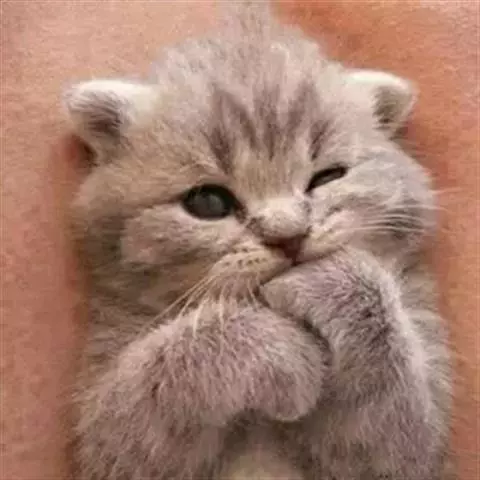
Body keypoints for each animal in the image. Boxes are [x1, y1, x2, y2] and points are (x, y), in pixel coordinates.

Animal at [65, 2, 452, 479]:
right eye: (208, 202)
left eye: (327, 177)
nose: (289, 236)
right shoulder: (109, 442)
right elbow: (152, 381)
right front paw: (282, 354)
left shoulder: (406, 450)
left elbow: (393, 420)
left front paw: (333, 281)